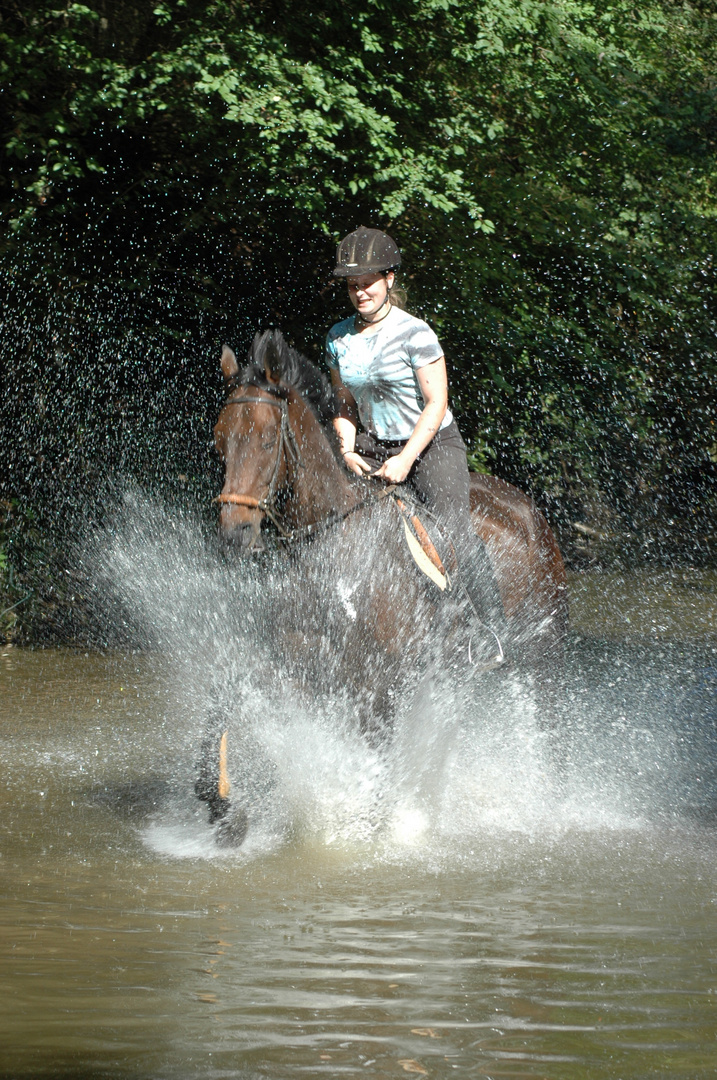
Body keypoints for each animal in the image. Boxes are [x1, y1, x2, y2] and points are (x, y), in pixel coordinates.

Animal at [196, 328, 565, 842]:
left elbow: (374, 770)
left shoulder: (379, 685)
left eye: (269, 441)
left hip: (542, 656)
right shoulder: (293, 660)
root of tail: (528, 511)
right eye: (219, 443)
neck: (333, 545)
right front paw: (221, 807)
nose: (235, 537)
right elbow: (222, 702)